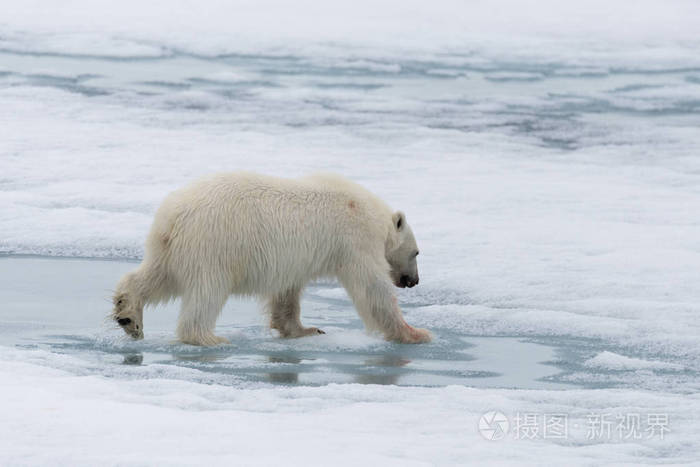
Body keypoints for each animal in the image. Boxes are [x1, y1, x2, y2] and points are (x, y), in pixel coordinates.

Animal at [111, 172, 430, 344]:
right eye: (416, 252)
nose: (414, 281)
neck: (373, 215)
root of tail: (173, 215)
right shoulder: (356, 239)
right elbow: (371, 288)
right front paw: (416, 333)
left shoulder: (294, 262)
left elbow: (287, 294)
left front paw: (307, 330)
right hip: (214, 243)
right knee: (207, 291)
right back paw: (207, 337)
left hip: (168, 247)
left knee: (156, 277)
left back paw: (128, 315)